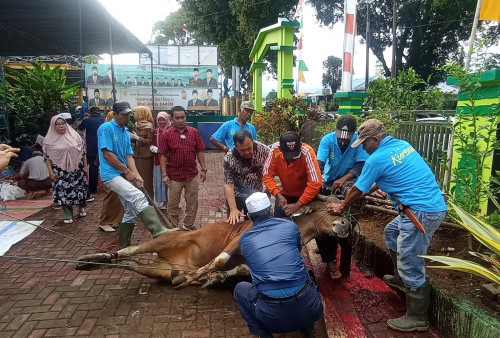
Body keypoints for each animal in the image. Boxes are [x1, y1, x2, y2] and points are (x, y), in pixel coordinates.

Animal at [76, 199, 350, 290]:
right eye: (329, 208)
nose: (346, 223)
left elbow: (240, 268)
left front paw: (211, 278)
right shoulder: (239, 238)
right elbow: (219, 259)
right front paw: (195, 277)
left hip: (159, 270)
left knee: (131, 263)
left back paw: (90, 263)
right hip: (168, 238)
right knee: (131, 250)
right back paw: (93, 258)